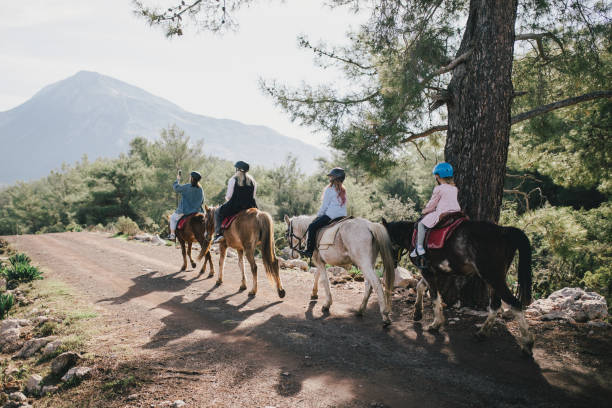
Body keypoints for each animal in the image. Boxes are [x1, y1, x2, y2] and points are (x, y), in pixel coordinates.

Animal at [382, 218, 536, 356]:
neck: (411, 235)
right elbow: (421, 287)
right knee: (495, 305)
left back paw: (527, 344)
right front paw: (417, 312)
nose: (391, 264)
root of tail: (503, 231)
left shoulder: (427, 271)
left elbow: (434, 297)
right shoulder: (433, 272)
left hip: (492, 277)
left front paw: (435, 324)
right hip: (495, 278)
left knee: (514, 304)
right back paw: (482, 333)